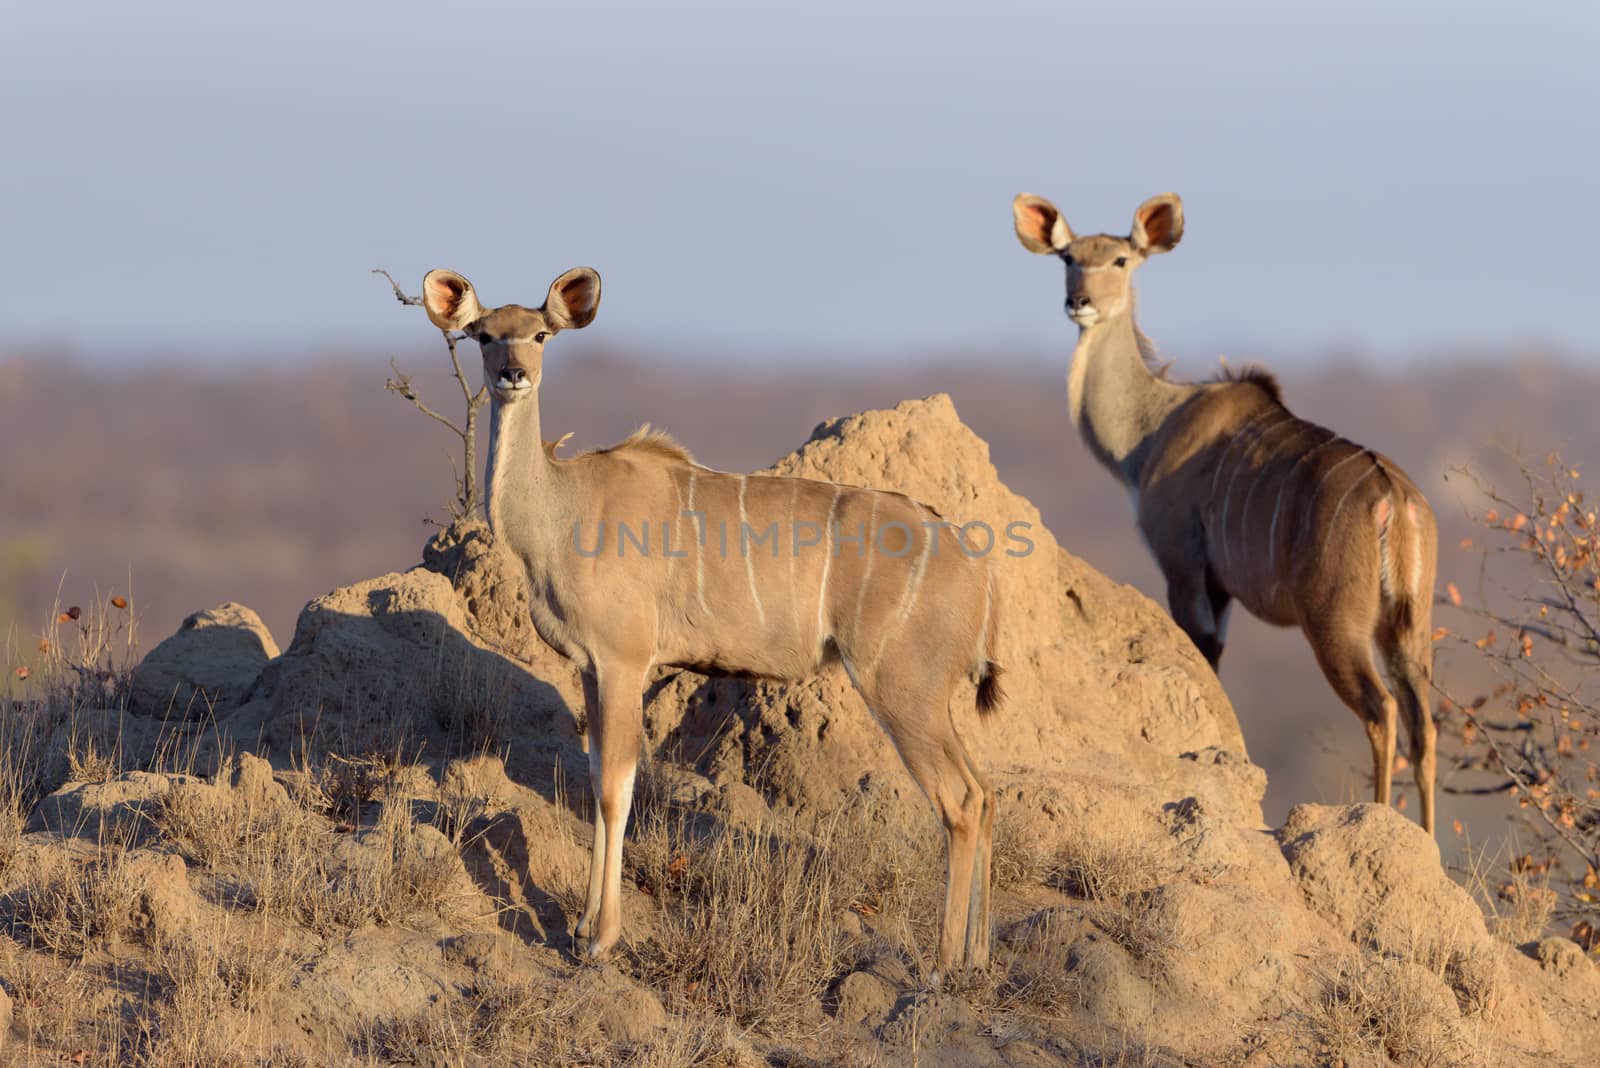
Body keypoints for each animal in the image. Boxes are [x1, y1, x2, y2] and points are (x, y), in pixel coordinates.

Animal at [422, 265, 998, 965]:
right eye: (482, 335)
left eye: (540, 334)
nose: (513, 374)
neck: (562, 509)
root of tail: (976, 567)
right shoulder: (590, 667)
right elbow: (595, 776)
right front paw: (582, 927)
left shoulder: (624, 661)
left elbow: (616, 788)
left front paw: (602, 938)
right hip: (932, 695)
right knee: (985, 793)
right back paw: (978, 959)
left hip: (900, 687)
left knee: (960, 801)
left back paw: (942, 966)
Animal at [1017, 194, 1446, 831]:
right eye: (1068, 258)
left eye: (1120, 259)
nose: (1080, 303)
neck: (1151, 427)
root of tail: (1394, 497)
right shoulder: (1220, 591)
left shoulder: (1185, 569)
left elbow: (1202, 662)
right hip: (1408, 629)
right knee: (1425, 722)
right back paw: (1429, 843)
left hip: (1335, 624)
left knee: (1381, 709)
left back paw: (1375, 818)